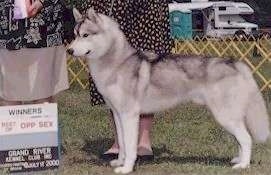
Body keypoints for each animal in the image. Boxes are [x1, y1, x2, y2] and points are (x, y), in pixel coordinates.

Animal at [67, 7, 270, 174]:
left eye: (86, 35)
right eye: (75, 35)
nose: (69, 50)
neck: (117, 63)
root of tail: (234, 62)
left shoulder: (129, 115)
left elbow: (131, 146)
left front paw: (127, 168)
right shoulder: (117, 114)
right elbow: (123, 144)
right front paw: (120, 161)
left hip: (225, 115)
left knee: (246, 138)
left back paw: (243, 165)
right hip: (228, 116)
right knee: (240, 139)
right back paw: (238, 159)